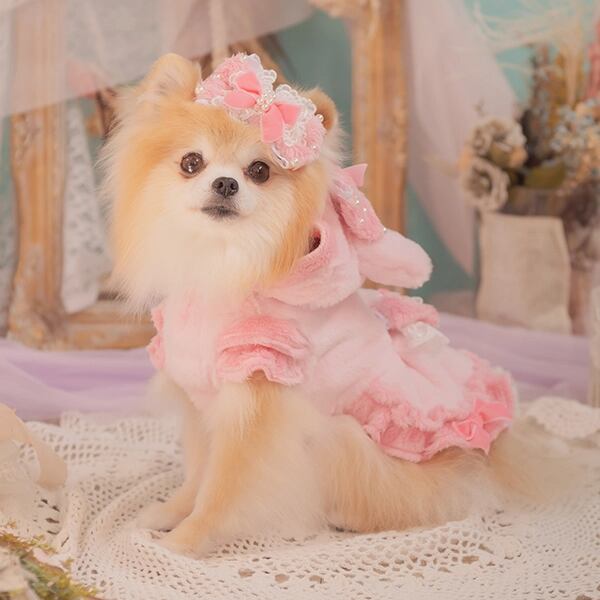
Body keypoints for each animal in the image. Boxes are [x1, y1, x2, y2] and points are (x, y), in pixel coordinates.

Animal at [102, 52, 565, 556]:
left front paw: (184, 543)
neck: (224, 264)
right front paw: (171, 513)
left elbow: (222, 488)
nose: (225, 183)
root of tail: (496, 450)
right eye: (192, 162)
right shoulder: (203, 402)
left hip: (348, 441)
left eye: (259, 171)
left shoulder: (255, 403)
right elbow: (198, 474)